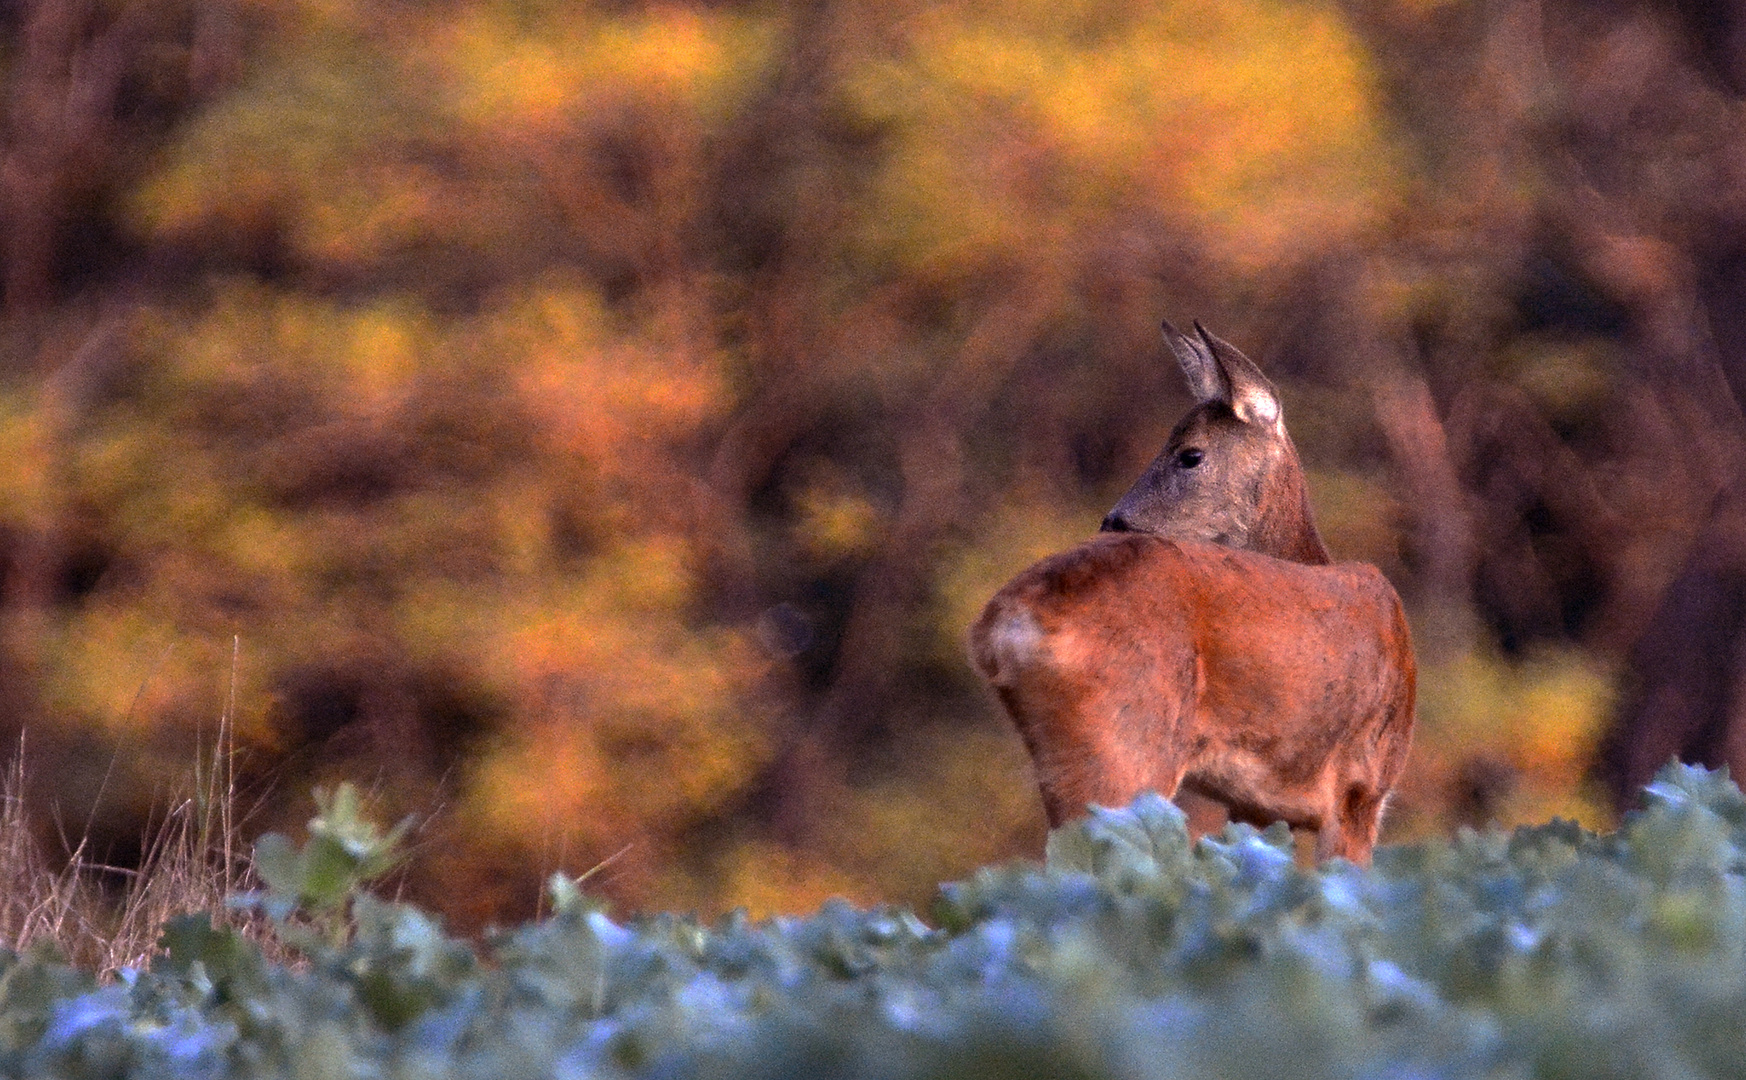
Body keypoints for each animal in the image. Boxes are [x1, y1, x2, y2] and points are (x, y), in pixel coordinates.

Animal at [977, 321, 1410, 861]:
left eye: (1190, 454)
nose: (1113, 522)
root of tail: (1002, 627)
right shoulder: (1361, 787)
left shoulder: (1256, 807)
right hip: (1125, 752)